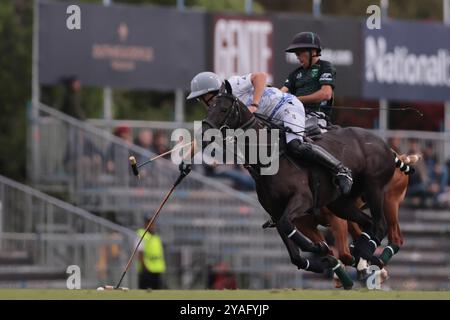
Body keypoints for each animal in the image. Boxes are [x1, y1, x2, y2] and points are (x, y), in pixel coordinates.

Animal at [202, 88, 396, 290]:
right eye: (209, 107)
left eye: (224, 109)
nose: (205, 134)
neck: (268, 158)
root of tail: (385, 145)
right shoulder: (276, 212)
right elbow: (294, 252)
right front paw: (322, 259)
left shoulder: (302, 199)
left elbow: (288, 225)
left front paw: (318, 248)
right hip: (341, 204)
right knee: (368, 223)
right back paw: (364, 257)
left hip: (374, 187)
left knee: (380, 225)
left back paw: (367, 257)